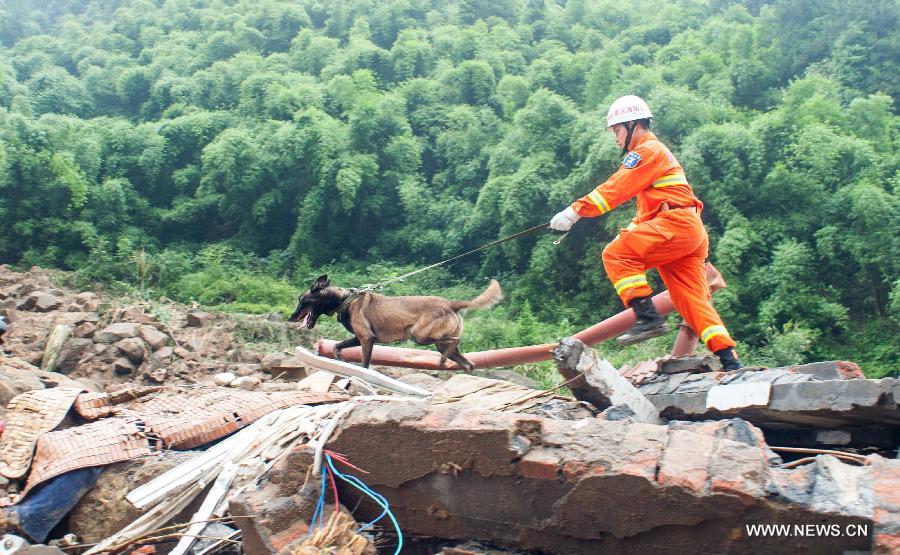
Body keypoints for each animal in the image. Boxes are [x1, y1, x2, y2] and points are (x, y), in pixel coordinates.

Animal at [288, 276, 502, 372]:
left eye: (301, 300)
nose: (291, 317)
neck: (344, 300)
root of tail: (451, 304)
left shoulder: (367, 339)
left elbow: (364, 364)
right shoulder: (359, 338)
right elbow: (336, 346)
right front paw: (340, 358)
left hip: (420, 335)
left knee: (454, 340)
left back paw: (443, 360)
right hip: (437, 343)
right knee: (468, 363)